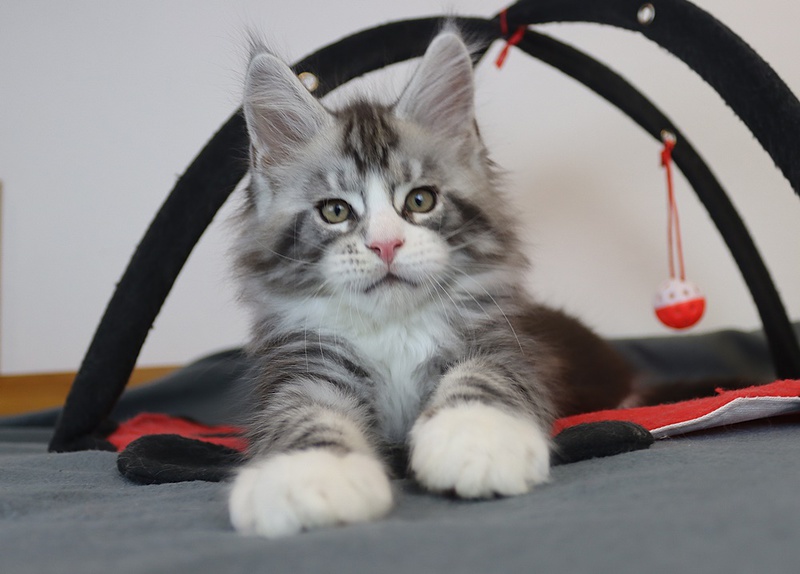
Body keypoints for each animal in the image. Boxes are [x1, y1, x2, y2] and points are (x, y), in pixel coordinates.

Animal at [227, 29, 634, 538]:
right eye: (335, 211)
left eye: (420, 200)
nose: (385, 244)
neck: (394, 329)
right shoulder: (305, 366)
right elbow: (301, 411)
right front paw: (311, 474)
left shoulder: (501, 345)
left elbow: (485, 377)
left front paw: (475, 436)